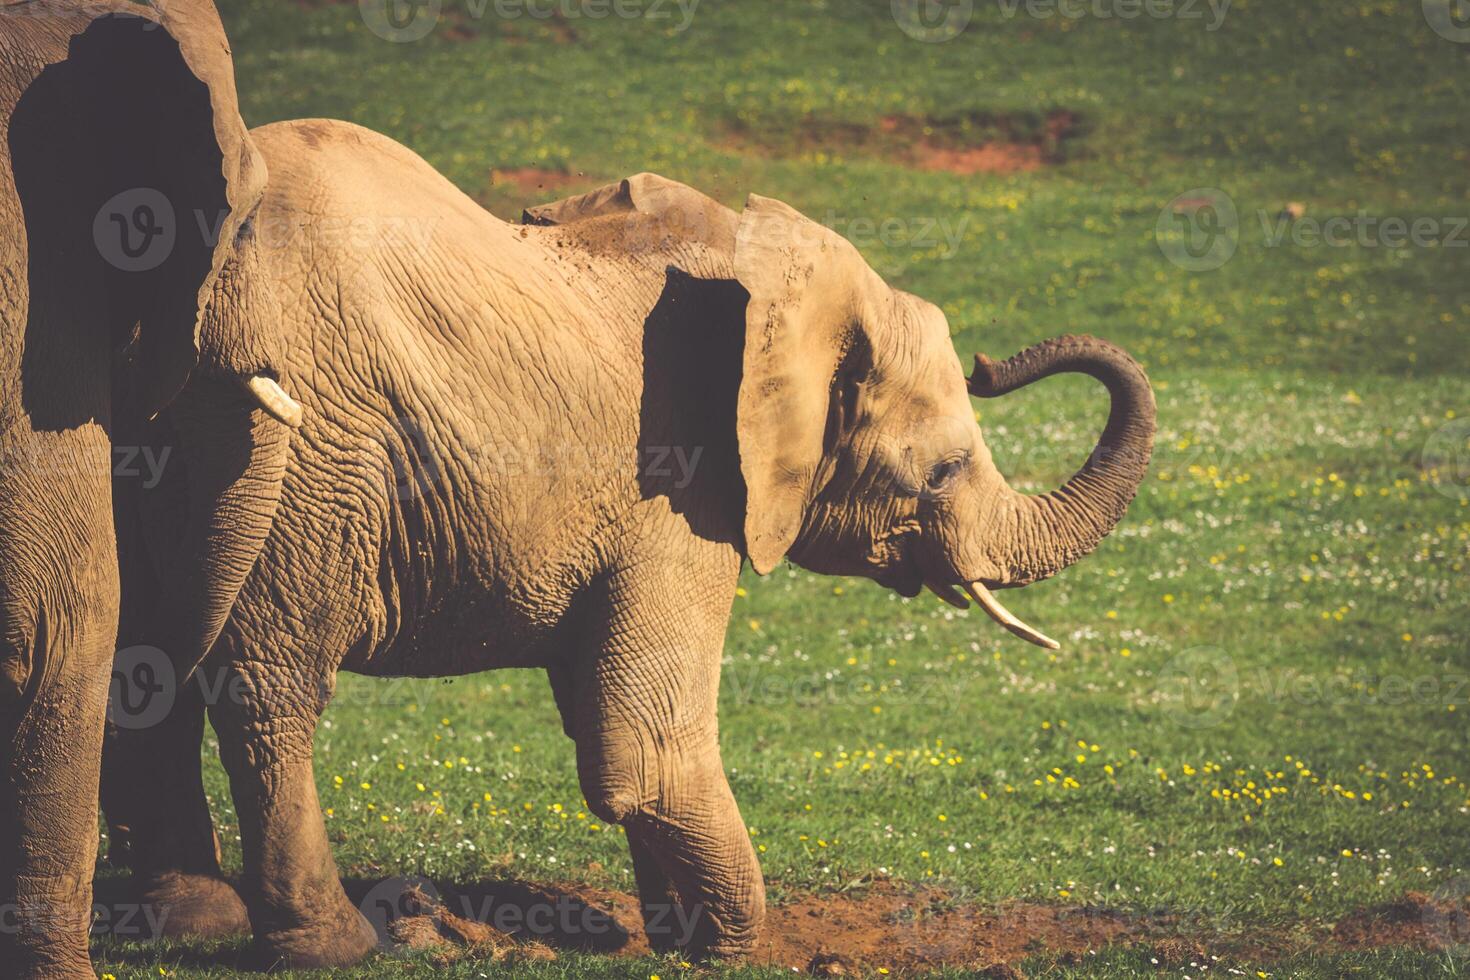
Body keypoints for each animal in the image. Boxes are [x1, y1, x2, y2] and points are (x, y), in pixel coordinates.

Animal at [106, 119, 1158, 969]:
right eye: (940, 473)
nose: (994, 360)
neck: (775, 274)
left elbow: (602, 719)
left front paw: (670, 938)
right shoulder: (681, 489)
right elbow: (640, 749)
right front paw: (728, 949)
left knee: (139, 662)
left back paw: (190, 923)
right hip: (318, 450)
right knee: (269, 685)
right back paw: (331, 945)